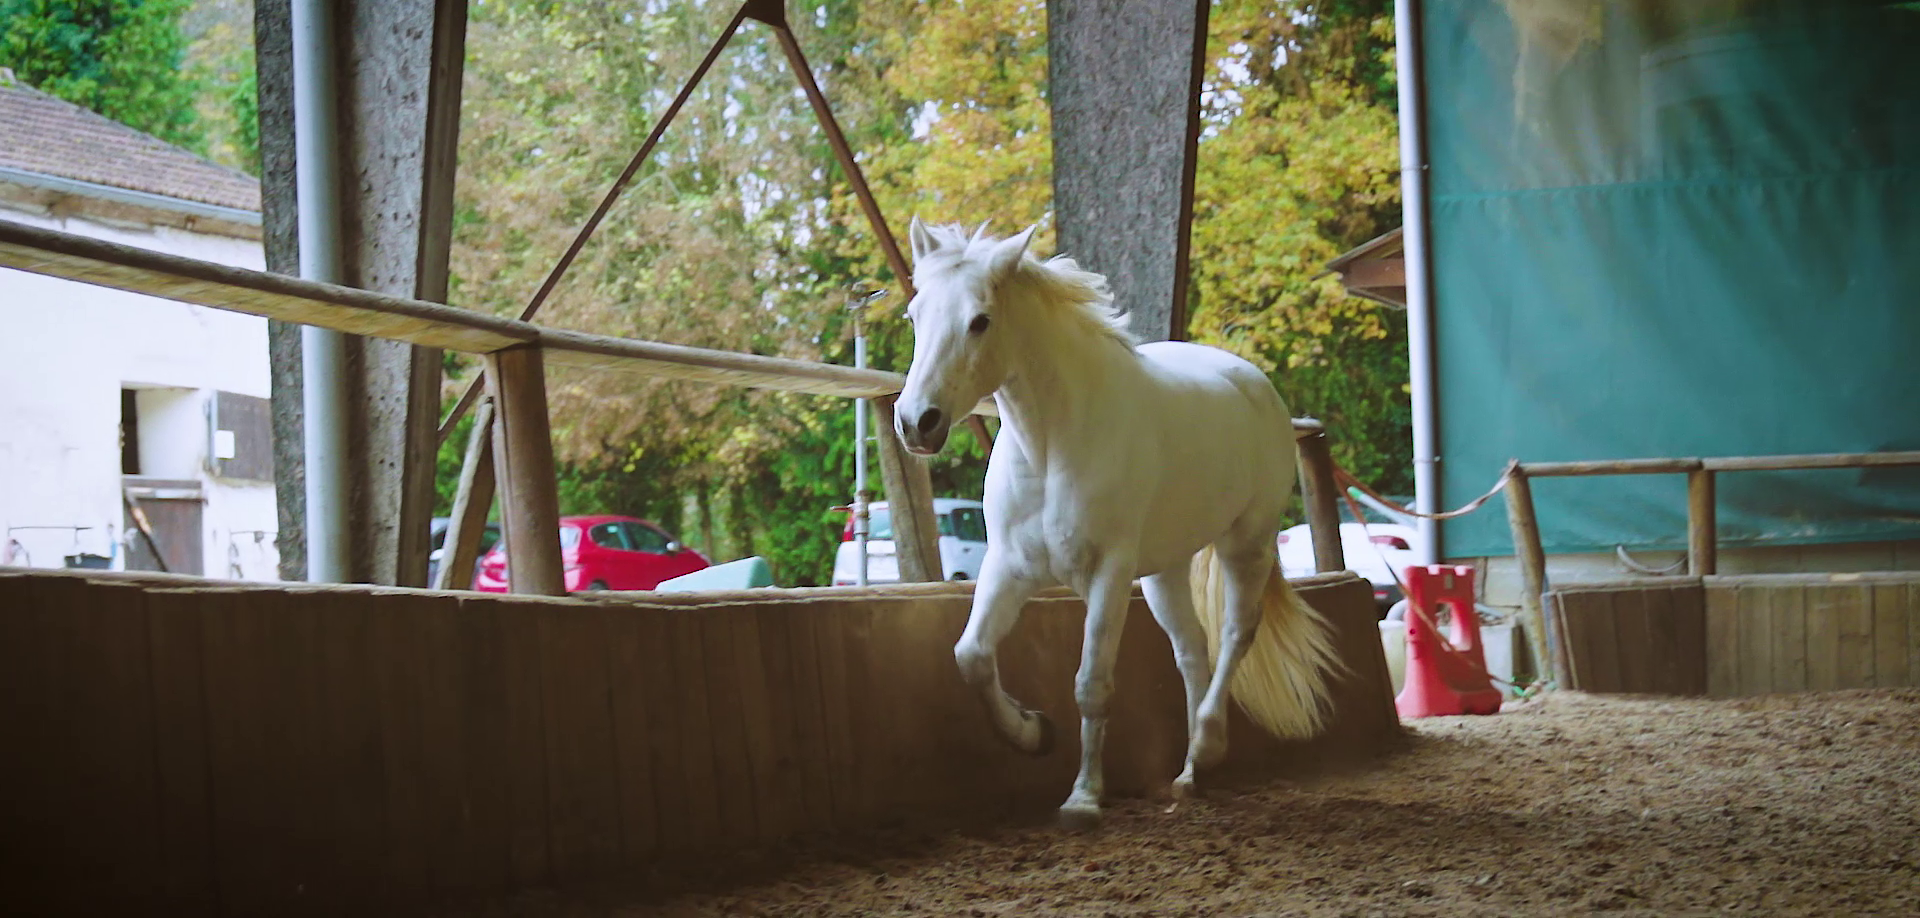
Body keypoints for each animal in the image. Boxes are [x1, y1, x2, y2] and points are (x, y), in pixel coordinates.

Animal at [894, 217, 1336, 825]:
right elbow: (972, 657)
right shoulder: (1009, 567)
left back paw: (1207, 746)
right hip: (1165, 573)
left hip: (1245, 545)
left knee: (1234, 635)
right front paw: (1034, 734)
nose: (918, 422)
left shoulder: (1107, 573)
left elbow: (1091, 684)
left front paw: (1083, 797)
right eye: (915, 315)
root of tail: (1254, 383)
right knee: (1192, 649)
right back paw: (1190, 774)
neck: (1053, 447)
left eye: (980, 320)